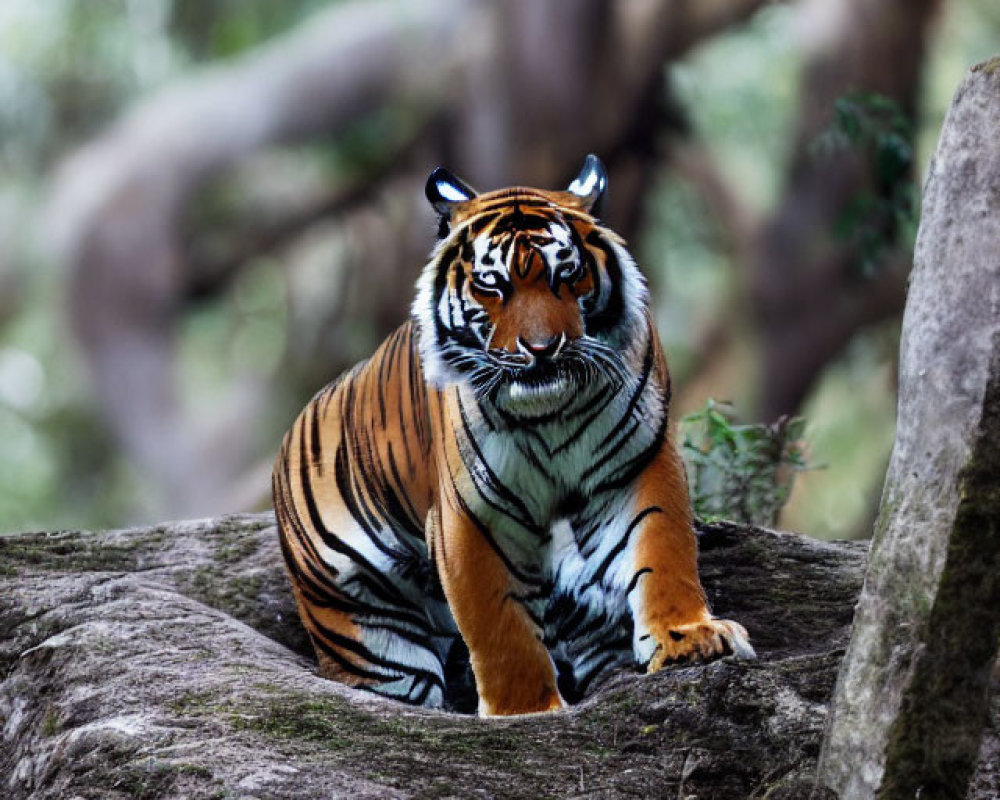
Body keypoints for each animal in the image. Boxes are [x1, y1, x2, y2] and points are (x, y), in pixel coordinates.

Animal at [270, 153, 752, 716]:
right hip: (372, 635)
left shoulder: (636, 465)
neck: (551, 411)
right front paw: (525, 710)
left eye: (568, 274)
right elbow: (499, 624)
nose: (543, 348)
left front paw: (689, 638)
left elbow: (661, 546)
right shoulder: (474, 514)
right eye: (492, 285)